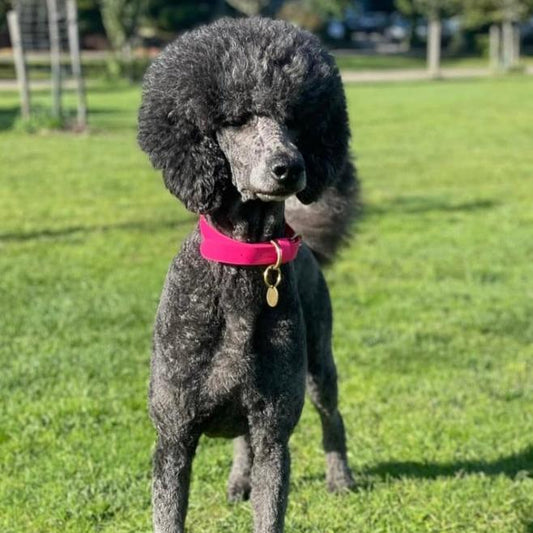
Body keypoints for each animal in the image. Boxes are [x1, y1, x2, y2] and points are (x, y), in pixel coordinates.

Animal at [138, 16, 358, 532]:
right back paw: (239, 479)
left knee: (332, 418)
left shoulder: (274, 434)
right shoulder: (173, 439)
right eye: (236, 121)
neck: (243, 264)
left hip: (320, 363)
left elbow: (269, 511)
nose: (288, 167)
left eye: (295, 121)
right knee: (241, 442)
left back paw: (340, 478)